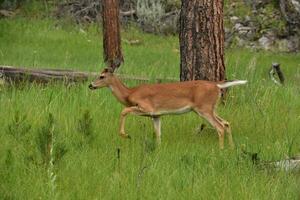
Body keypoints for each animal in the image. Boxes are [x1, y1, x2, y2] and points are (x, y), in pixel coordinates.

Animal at [88, 69, 246, 148]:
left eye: (101, 76)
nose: (90, 85)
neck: (130, 93)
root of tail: (217, 85)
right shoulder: (156, 115)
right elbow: (158, 134)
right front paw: (158, 150)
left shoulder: (147, 108)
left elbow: (124, 111)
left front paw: (125, 135)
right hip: (211, 108)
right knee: (227, 123)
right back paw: (231, 148)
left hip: (204, 108)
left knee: (220, 127)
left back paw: (221, 150)